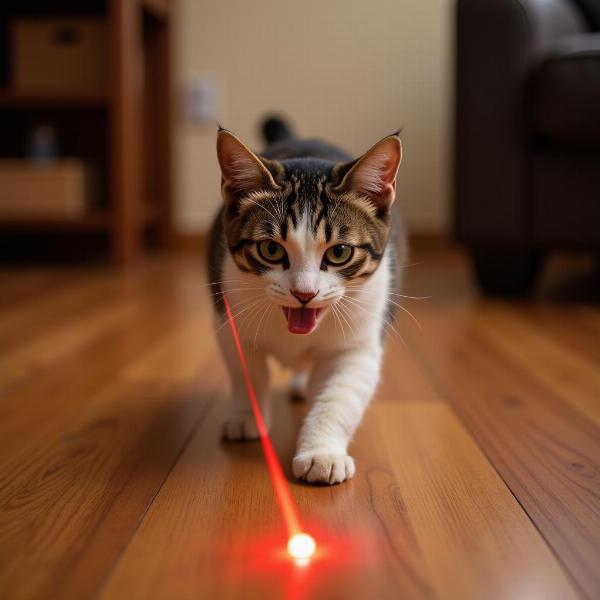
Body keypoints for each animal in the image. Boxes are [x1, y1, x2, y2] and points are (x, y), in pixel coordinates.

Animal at [204, 116, 406, 482]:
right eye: (271, 249)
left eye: (339, 252)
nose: (304, 293)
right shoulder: (227, 316)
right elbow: (247, 372)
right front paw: (246, 415)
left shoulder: (360, 339)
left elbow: (339, 396)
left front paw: (322, 452)